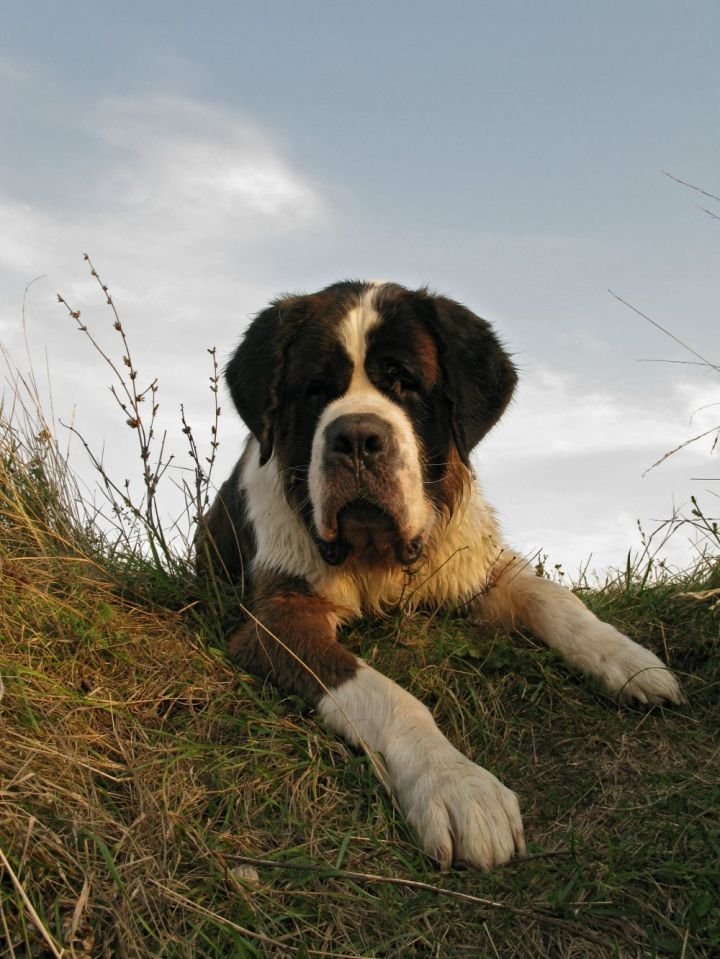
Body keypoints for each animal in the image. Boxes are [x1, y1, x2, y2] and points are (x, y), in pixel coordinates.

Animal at [198, 280, 684, 871]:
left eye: (405, 381)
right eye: (315, 390)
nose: (356, 438)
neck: (377, 555)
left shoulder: (477, 569)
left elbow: (553, 597)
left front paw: (627, 659)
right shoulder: (281, 615)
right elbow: (386, 694)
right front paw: (456, 785)